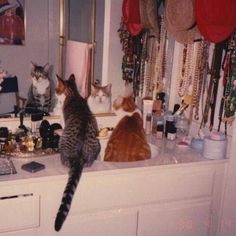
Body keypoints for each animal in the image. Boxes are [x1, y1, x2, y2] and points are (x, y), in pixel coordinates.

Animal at [54, 73, 100, 230]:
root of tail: (78, 156)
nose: (55, 92)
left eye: (56, 88)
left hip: (62, 143)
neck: (73, 93)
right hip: (96, 144)